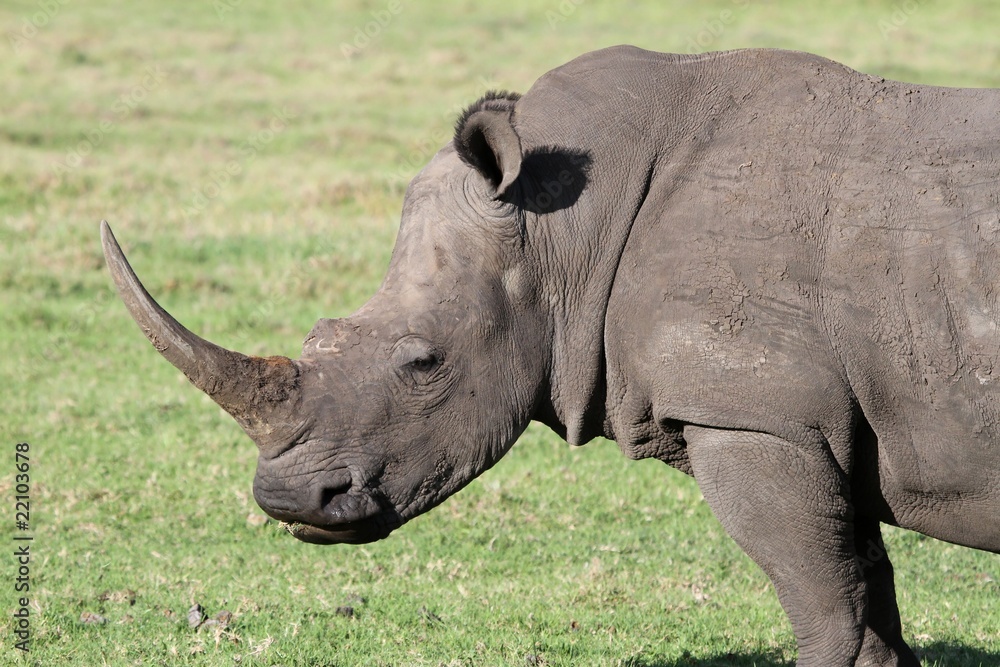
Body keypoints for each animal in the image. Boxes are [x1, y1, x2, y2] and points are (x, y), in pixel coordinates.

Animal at [102, 46, 1000, 666]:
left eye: (424, 363)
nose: (290, 500)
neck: (566, 228)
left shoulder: (755, 415)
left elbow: (831, 611)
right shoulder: (816, 423)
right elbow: (870, 597)